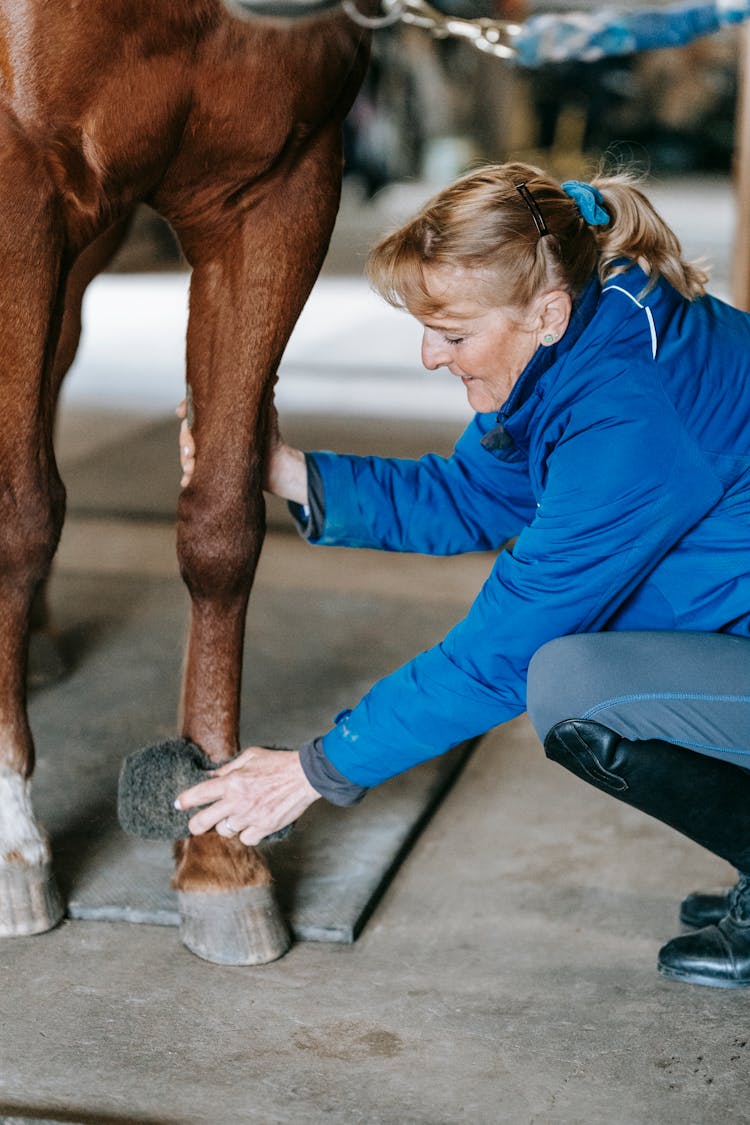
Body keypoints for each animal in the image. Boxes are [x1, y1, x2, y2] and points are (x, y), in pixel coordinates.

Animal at [0, 0, 368, 967]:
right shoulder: (17, 183)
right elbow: (16, 518)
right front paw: (13, 845)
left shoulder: (276, 192)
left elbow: (222, 522)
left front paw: (219, 855)